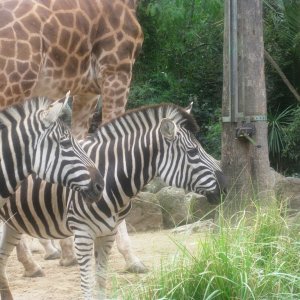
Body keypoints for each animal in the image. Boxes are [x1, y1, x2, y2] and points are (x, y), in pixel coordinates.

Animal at [0, 103, 225, 300]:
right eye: (193, 152)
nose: (225, 184)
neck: (111, 177)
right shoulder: (83, 233)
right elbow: (87, 283)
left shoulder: (107, 232)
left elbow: (101, 280)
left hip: (13, 223)